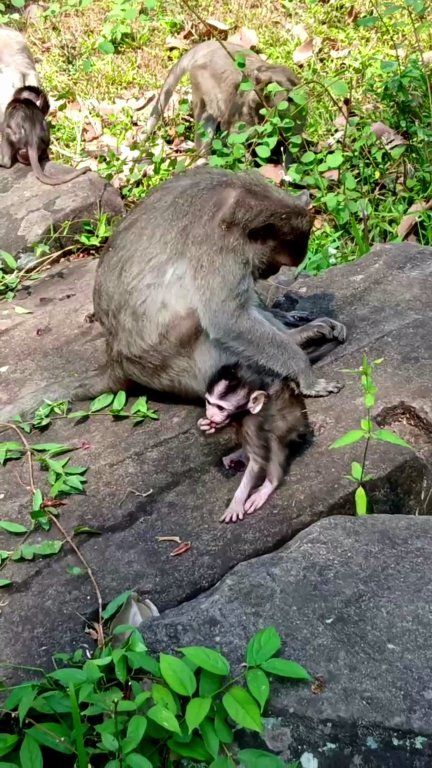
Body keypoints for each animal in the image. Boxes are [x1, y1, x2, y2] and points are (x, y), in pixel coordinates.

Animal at [0, 166, 346, 424]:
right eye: (276, 262)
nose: (268, 274)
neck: (241, 198)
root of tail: (116, 363)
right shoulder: (218, 247)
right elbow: (227, 320)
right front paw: (304, 372)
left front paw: (300, 331)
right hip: (171, 368)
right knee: (196, 320)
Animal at [198, 363, 309, 523]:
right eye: (208, 402)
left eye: (220, 408)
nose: (210, 414)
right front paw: (205, 425)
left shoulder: (252, 423)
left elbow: (257, 461)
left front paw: (236, 502)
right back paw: (241, 454)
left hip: (296, 430)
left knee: (273, 439)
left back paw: (270, 484)